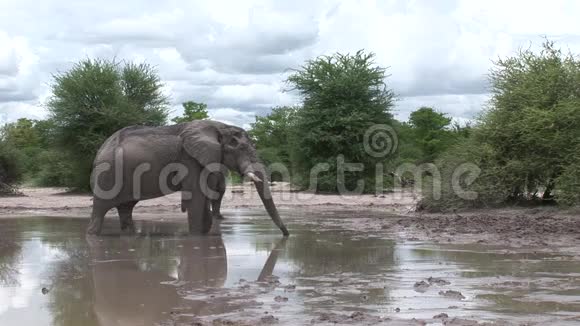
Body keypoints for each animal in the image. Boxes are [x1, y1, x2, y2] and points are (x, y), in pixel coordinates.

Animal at [86, 119, 290, 234]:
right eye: (240, 148)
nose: (286, 234)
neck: (220, 126)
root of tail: (100, 150)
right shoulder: (189, 159)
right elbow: (196, 197)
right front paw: (197, 238)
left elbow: (204, 195)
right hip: (107, 175)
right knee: (100, 210)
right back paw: (93, 235)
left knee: (126, 208)